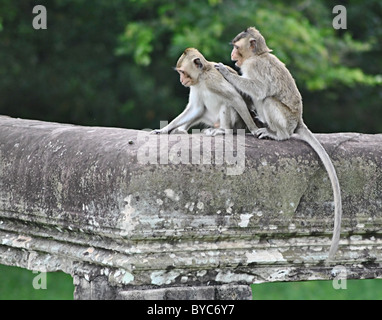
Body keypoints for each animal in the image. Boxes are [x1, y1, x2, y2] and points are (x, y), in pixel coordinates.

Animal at [215, 25, 344, 260]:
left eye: (236, 47)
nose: (232, 55)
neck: (259, 55)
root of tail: (297, 121)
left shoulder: (254, 66)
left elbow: (258, 89)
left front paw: (226, 72)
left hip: (285, 118)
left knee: (266, 99)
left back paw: (276, 133)